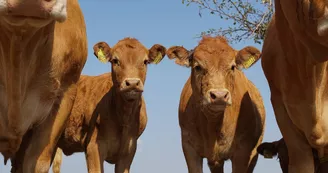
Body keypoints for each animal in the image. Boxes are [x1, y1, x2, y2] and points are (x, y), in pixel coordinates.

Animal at [52, 38, 167, 173]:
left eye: (145, 61)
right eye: (115, 60)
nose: (132, 83)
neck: (123, 118)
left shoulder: (129, 151)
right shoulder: (93, 147)